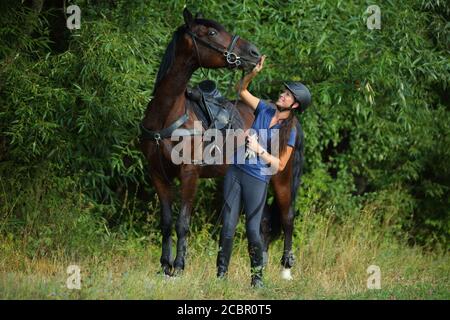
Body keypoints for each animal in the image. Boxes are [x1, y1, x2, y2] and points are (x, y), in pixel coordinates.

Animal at [139, 6, 304, 278]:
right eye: (212, 32)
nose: (253, 53)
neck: (167, 115)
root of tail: (290, 119)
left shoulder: (189, 173)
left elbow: (183, 223)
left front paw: (179, 267)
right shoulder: (157, 175)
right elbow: (166, 222)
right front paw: (164, 266)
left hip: (282, 176)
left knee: (287, 217)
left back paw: (286, 270)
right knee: (264, 223)